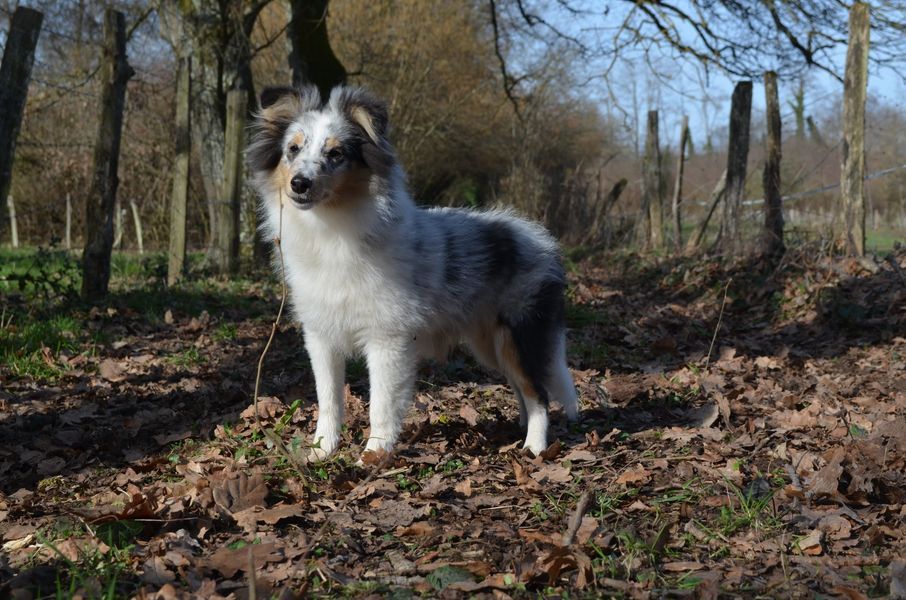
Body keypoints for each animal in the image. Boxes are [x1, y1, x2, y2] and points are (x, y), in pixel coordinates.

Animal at [244, 84, 576, 460]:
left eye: (336, 154)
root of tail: (542, 240)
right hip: (489, 342)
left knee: (538, 392)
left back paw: (534, 447)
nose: (299, 184)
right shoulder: (321, 337)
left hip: (518, 334)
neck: (331, 228)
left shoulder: (387, 339)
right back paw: (521, 428)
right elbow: (329, 400)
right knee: (523, 387)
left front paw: (373, 455)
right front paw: (321, 451)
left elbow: (381, 404)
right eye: (293, 149)